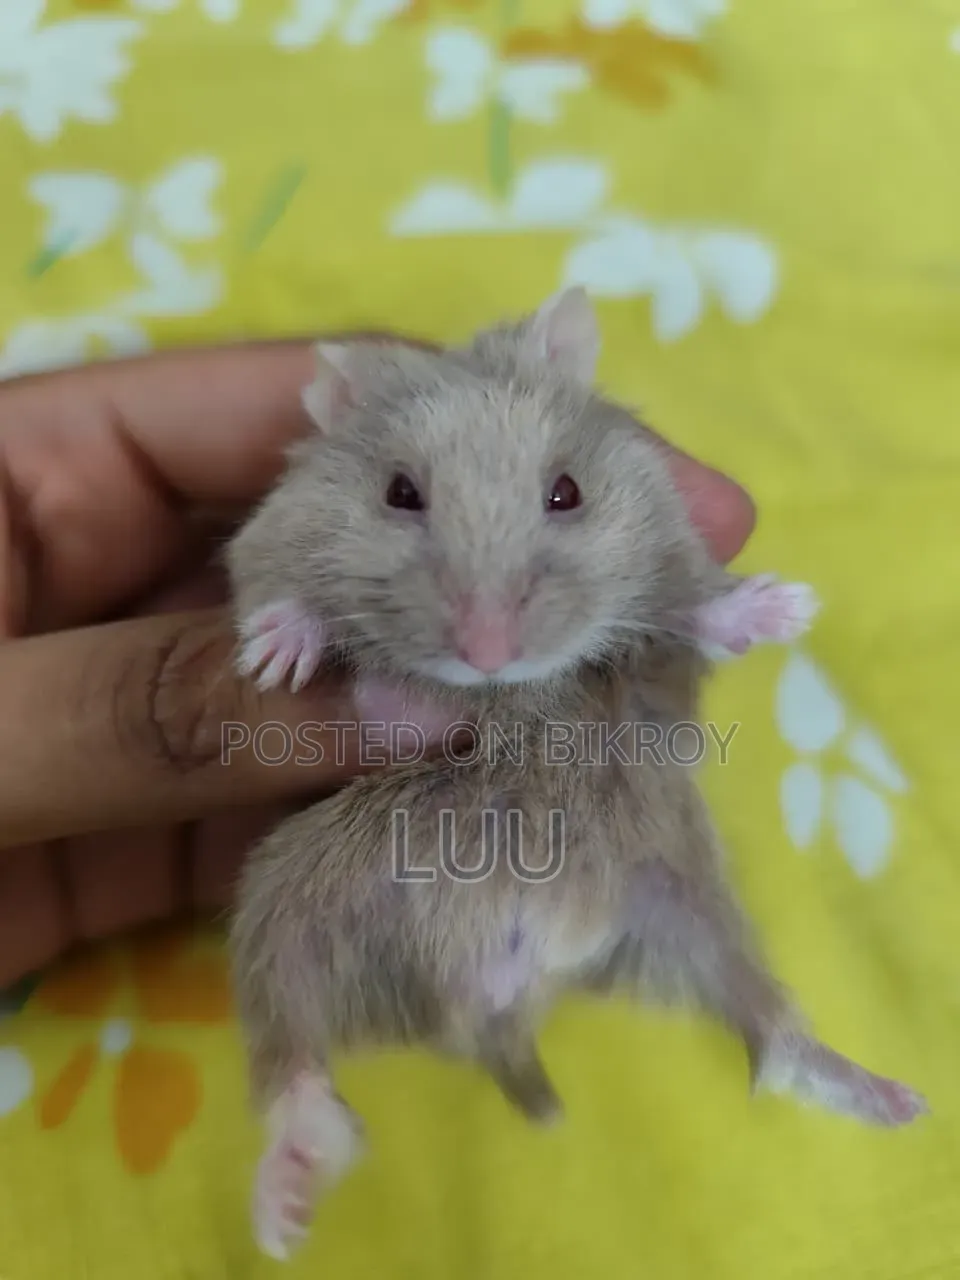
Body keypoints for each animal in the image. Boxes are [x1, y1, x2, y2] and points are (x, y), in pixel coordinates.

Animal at [225, 287, 927, 1261]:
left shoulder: (659, 648)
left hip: (685, 907)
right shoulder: (261, 542)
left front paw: (785, 608)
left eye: (568, 493)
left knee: (775, 1039)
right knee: (295, 1069)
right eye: (400, 494)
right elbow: (272, 589)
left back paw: (900, 1102)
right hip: (282, 907)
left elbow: (689, 609)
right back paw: (284, 1204)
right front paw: (280, 652)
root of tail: (500, 1000)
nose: (488, 654)